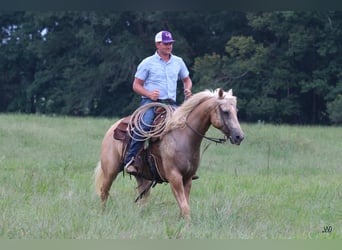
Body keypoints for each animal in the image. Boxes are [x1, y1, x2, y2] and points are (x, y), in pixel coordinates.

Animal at [93, 88, 243, 221]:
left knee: (142, 197)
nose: (239, 136)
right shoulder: (174, 177)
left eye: (235, 111)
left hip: (142, 176)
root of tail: (113, 127)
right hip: (110, 171)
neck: (183, 136)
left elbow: (184, 205)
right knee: (104, 192)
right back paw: (103, 214)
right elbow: (185, 207)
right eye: (225, 111)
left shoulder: (187, 178)